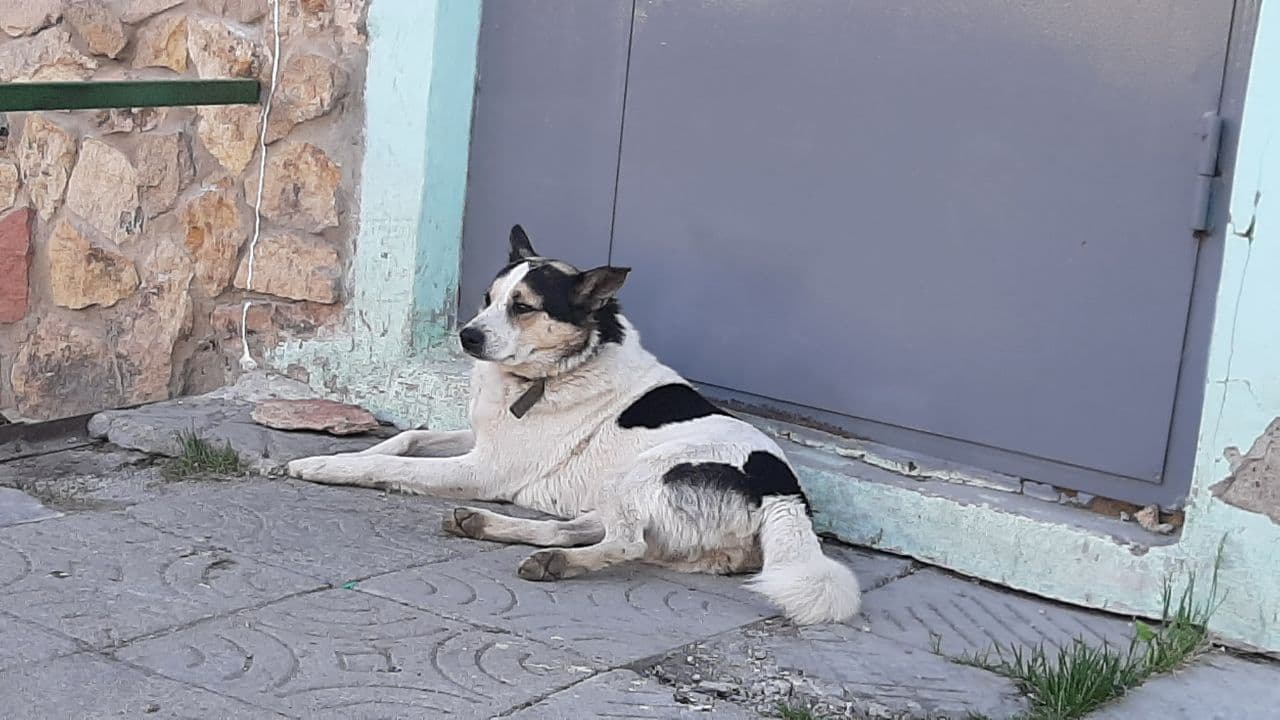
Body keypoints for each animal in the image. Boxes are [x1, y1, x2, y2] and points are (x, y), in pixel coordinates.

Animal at [285, 224, 855, 622]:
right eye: (488, 300)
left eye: (523, 307)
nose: (467, 336)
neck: (554, 372)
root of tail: (784, 492)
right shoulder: (479, 440)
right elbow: (406, 438)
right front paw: (356, 451)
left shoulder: (482, 468)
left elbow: (397, 468)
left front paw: (325, 465)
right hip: (617, 490)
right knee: (581, 528)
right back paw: (491, 527)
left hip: (640, 474)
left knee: (625, 543)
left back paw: (555, 563)